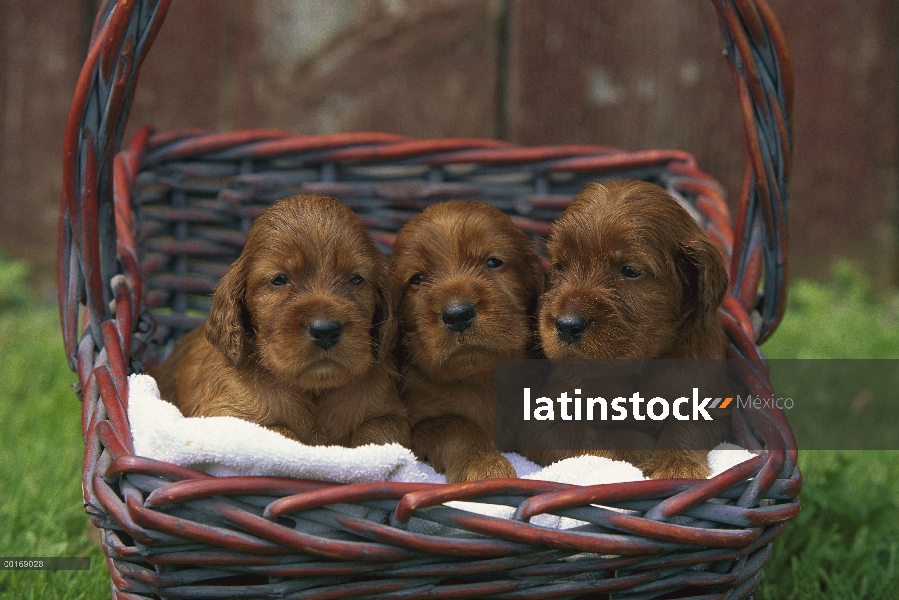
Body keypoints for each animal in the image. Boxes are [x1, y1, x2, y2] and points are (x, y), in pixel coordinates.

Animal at [150, 195, 412, 448]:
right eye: (279, 280)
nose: (325, 331)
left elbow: (377, 434)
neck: (314, 391)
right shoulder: (226, 416)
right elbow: (279, 433)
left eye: (356, 279)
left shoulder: (393, 416)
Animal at [392, 202, 548, 482]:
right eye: (417, 279)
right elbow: (457, 423)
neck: (481, 378)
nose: (457, 315)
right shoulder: (417, 422)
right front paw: (482, 464)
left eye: (493, 262)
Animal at [536, 180, 732, 480]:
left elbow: (688, 424)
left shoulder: (709, 395)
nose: (567, 325)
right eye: (559, 267)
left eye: (630, 271)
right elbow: (583, 437)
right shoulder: (544, 421)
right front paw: (639, 445)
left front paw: (675, 465)